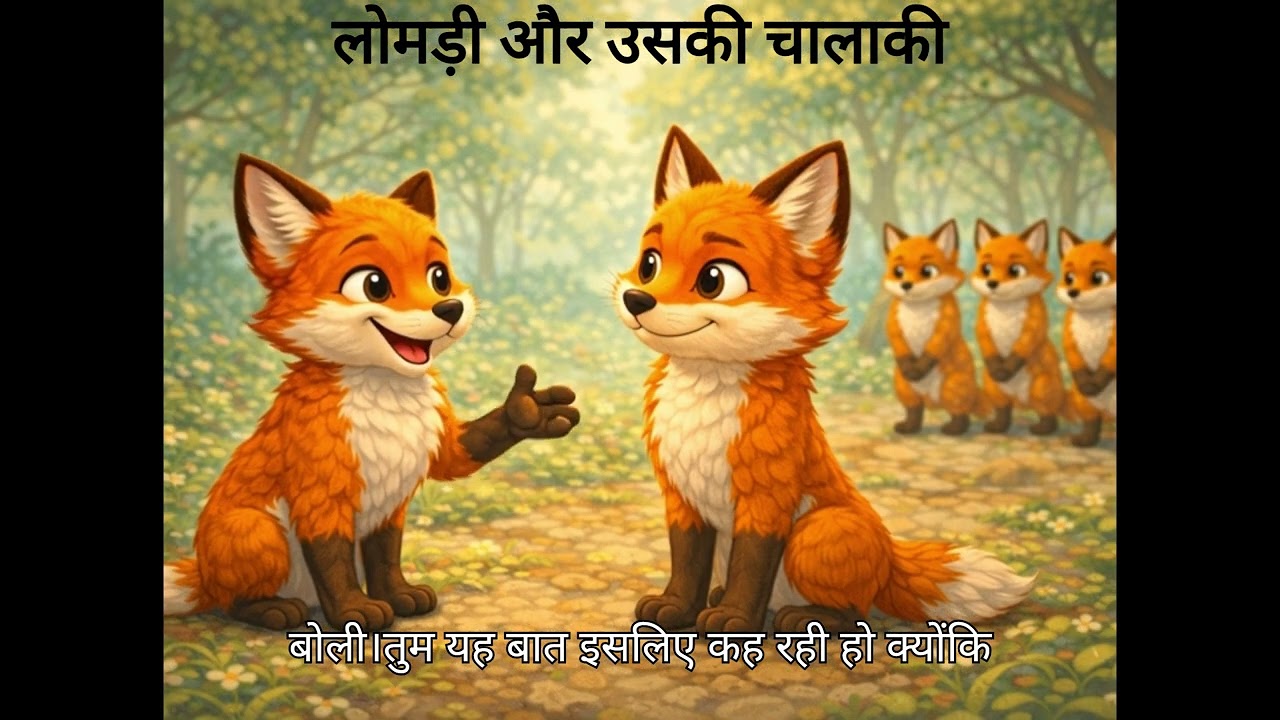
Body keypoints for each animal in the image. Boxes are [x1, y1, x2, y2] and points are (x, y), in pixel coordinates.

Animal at [163, 155, 580, 631]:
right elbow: (334, 565)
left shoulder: (397, 494)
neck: (388, 396)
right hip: (257, 531)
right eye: (374, 285)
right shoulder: (322, 495)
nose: (450, 308)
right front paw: (354, 612)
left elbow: (388, 555)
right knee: (230, 600)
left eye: (439, 276)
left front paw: (526, 410)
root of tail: (201, 572)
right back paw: (270, 609)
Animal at [883, 220, 987, 435]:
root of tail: (932, 400)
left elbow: (934, 348)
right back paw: (909, 427)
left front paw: (920, 367)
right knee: (915, 409)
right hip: (904, 386)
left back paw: (954, 429)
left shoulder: (945, 326)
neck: (919, 310)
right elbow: (898, 343)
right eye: (898, 271)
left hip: (952, 387)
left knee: (960, 413)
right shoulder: (894, 326)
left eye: (927, 271)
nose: (906, 285)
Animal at [971, 219, 1071, 435]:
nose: (992, 283)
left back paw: (1043, 428)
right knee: (1004, 408)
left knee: (1048, 413)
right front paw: (1000, 370)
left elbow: (1022, 348)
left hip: (1041, 387)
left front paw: (1007, 368)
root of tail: (1022, 402)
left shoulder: (1034, 326)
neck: (1006, 311)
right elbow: (986, 342)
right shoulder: (983, 325)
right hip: (992, 385)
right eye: (986, 268)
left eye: (1015, 270)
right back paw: (999, 425)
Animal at [1056, 227, 1116, 447]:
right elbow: (1076, 361)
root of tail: (1108, 411)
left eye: (1098, 277)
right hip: (1082, 401)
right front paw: (1088, 385)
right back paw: (1086, 439)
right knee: (1092, 420)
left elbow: (1107, 364)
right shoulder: (1070, 339)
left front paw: (1094, 384)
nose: (1073, 292)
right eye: (1069, 277)